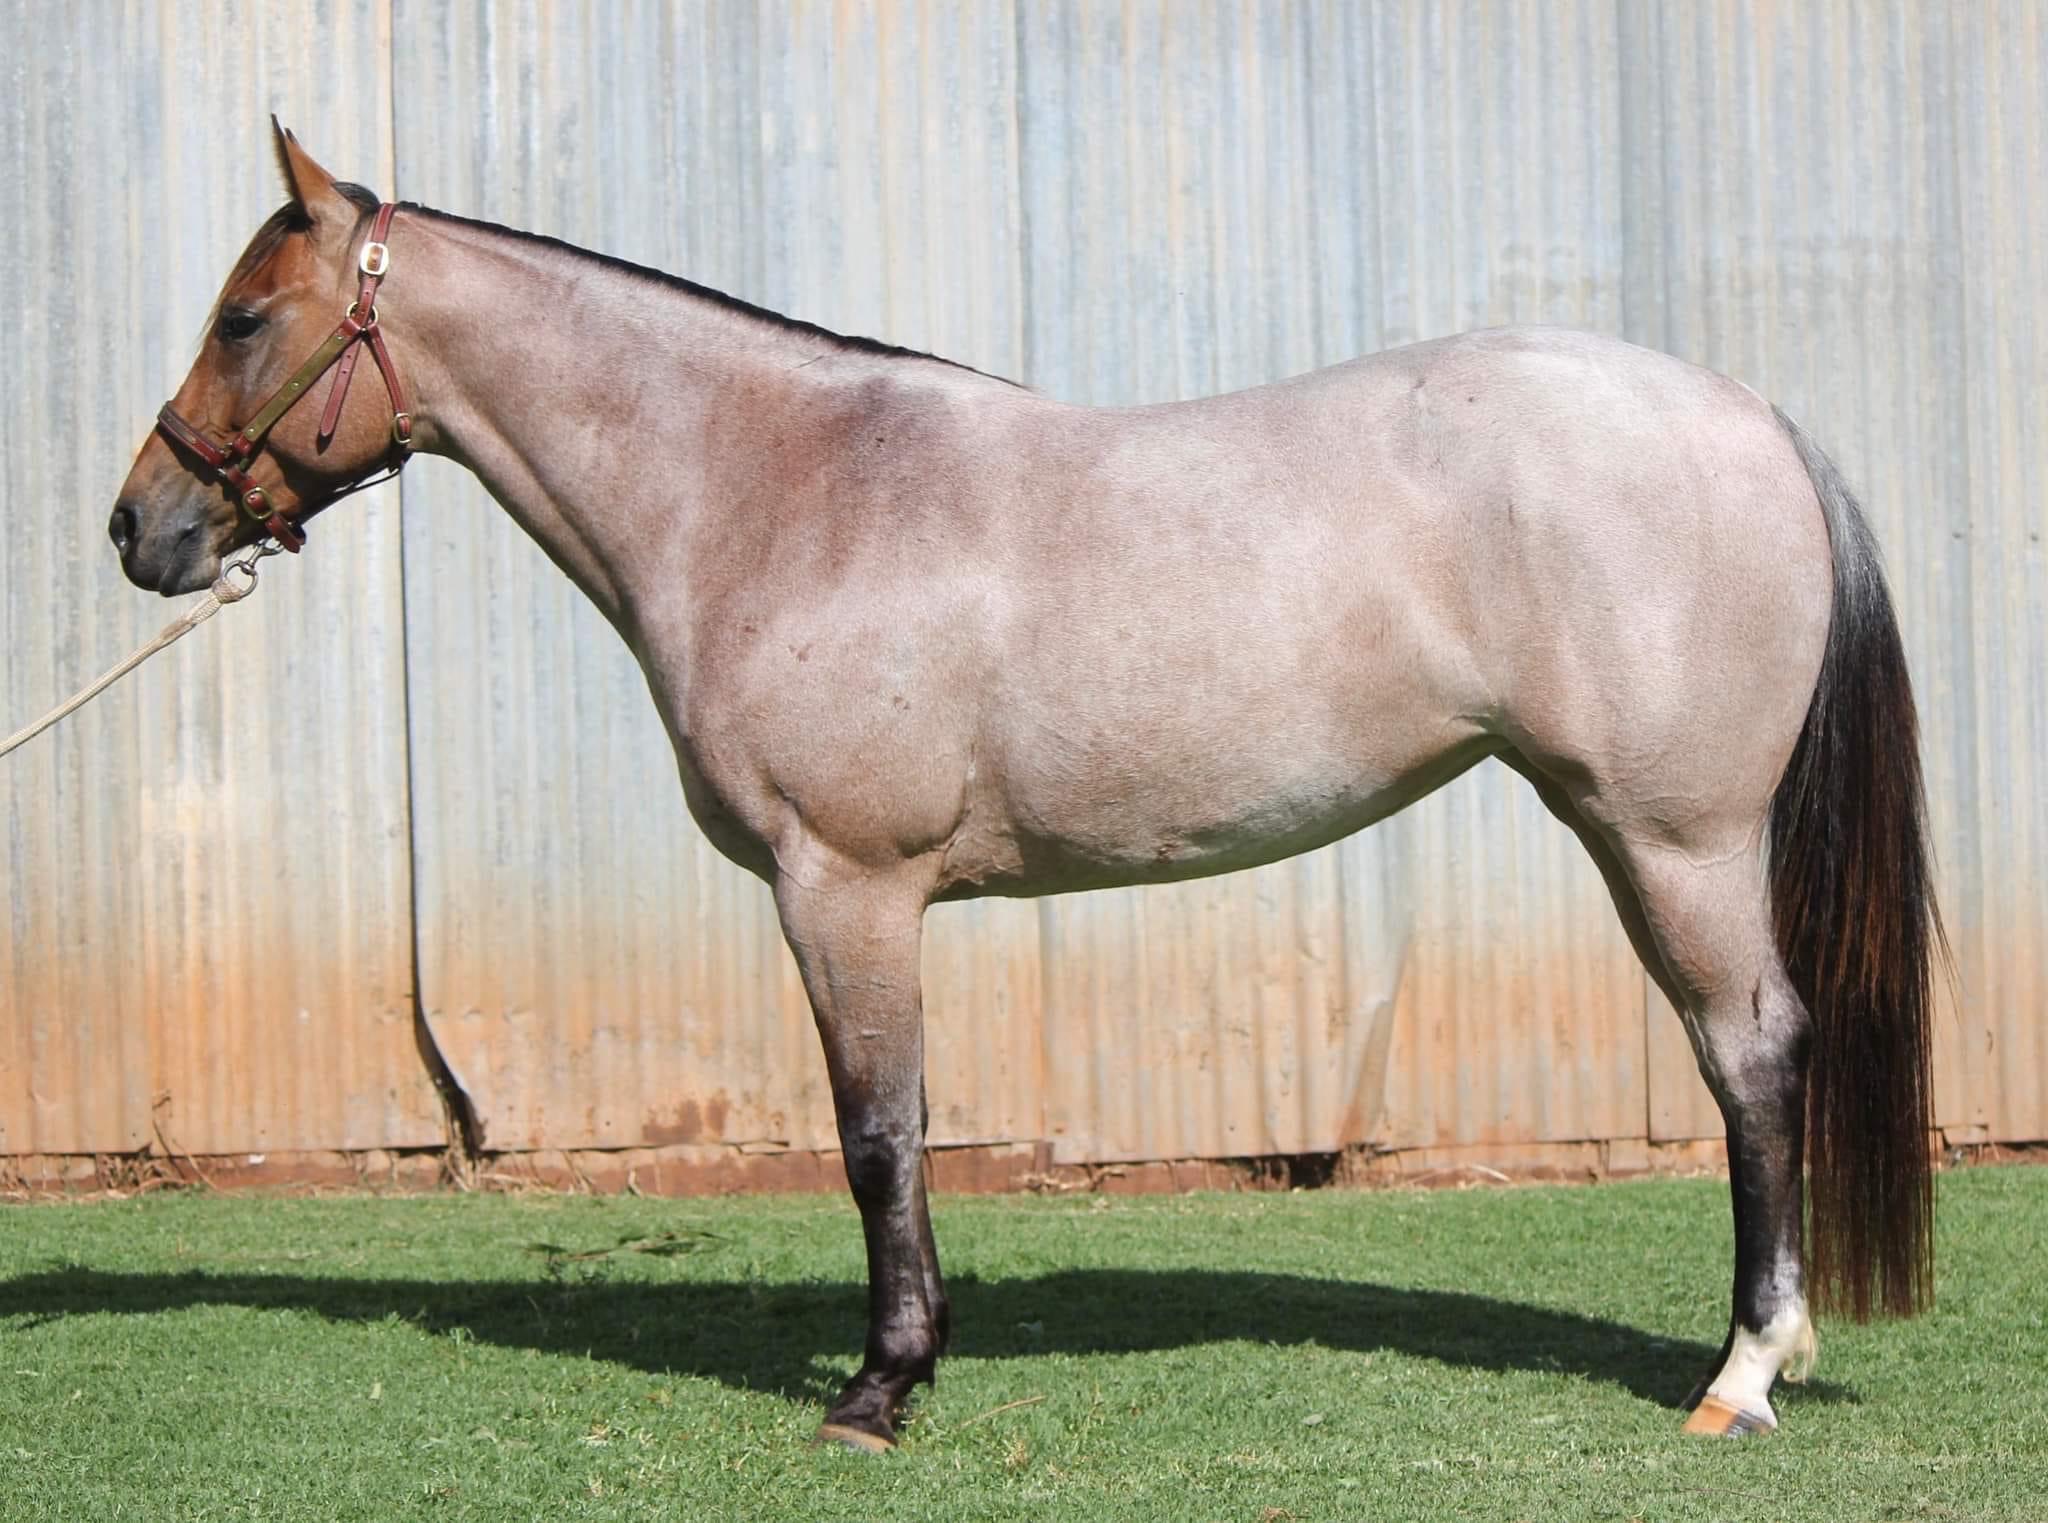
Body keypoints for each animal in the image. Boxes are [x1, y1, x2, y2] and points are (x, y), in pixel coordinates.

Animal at [110, 125, 1943, 1449]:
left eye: (244, 317)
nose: (142, 527)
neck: (779, 486)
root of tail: (1755, 418)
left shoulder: (843, 884)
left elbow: (874, 1130)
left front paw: (877, 1387)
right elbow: (905, 1123)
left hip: (1674, 836)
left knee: (1752, 1052)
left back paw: (1740, 1375)